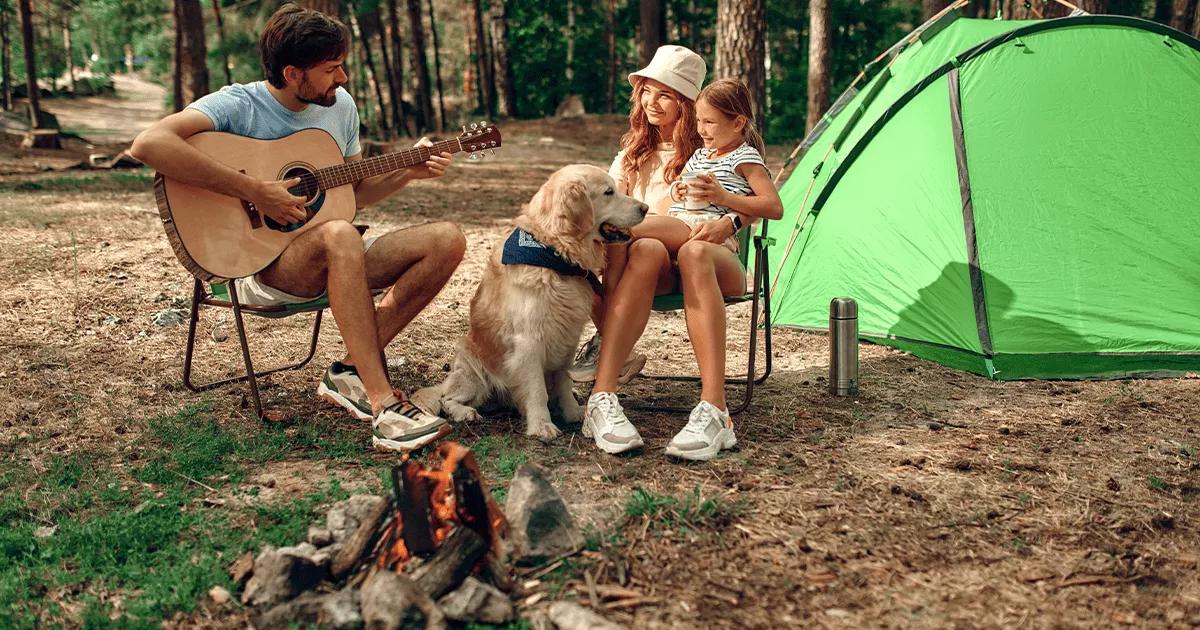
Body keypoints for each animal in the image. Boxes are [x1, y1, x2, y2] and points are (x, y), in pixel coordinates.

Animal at [412, 162, 648, 436]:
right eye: (609, 192)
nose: (645, 208)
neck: (556, 253)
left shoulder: (567, 338)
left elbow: (563, 381)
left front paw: (572, 412)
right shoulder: (529, 341)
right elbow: (536, 390)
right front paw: (541, 425)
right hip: (472, 370)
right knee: (447, 398)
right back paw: (465, 412)